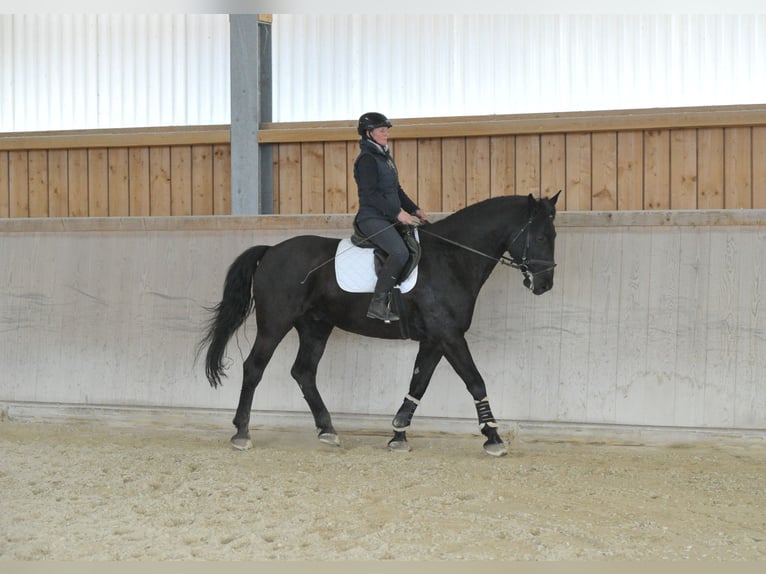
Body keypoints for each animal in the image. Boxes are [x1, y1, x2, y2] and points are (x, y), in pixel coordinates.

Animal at [199, 191, 560, 456]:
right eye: (542, 236)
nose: (545, 285)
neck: (451, 258)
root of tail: (272, 250)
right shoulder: (449, 335)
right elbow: (475, 381)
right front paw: (493, 438)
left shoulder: (435, 339)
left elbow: (418, 383)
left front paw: (398, 433)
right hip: (275, 324)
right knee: (254, 368)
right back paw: (242, 433)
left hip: (315, 327)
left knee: (303, 372)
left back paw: (328, 431)